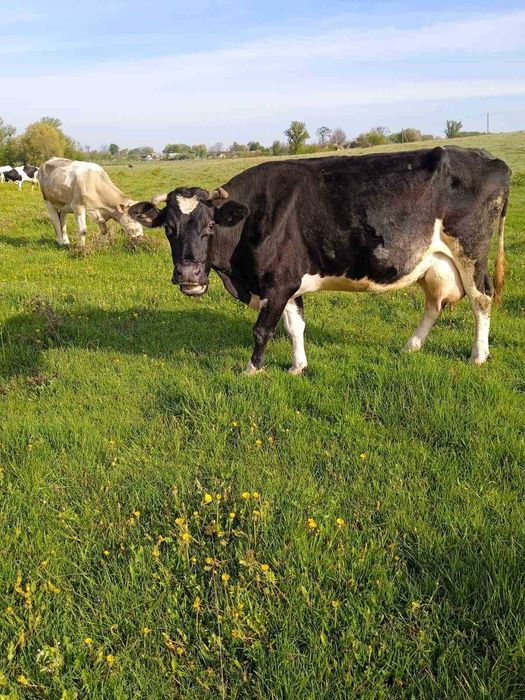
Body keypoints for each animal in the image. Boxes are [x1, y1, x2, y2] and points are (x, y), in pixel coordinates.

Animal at [128, 147, 510, 373]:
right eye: (169, 229)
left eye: (210, 226)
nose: (189, 274)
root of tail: (489, 158)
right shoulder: (288, 282)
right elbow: (294, 326)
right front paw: (298, 367)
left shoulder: (277, 283)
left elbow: (263, 329)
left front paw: (253, 370)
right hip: (434, 263)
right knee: (435, 304)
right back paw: (410, 347)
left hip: (471, 251)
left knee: (481, 298)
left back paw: (478, 356)